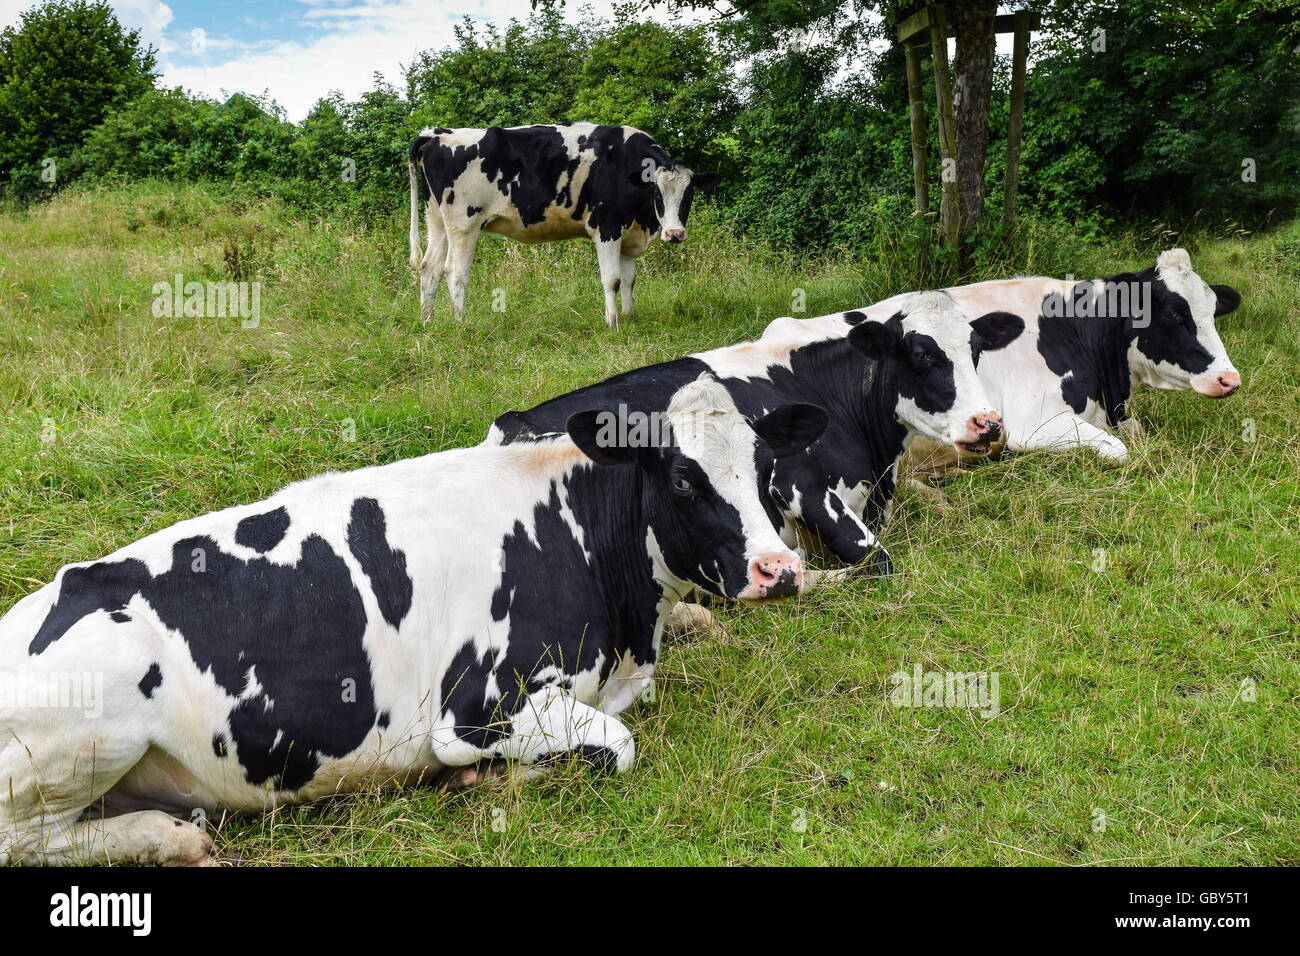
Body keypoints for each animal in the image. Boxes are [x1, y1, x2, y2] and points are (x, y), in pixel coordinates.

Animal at [0, 376, 825, 865]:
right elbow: (616, 746)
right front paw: (492, 784)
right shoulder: (476, 710)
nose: (779, 571)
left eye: (765, 470)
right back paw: (168, 837)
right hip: (95, 721)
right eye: (683, 478)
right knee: (26, 842)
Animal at [408, 123, 721, 327]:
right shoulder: (606, 228)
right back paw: (463, 325)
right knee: (455, 273)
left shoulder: (628, 234)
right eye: (657, 193)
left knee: (430, 268)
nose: (675, 234)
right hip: (464, 223)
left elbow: (629, 279)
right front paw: (613, 322)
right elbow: (612, 279)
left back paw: (427, 322)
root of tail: (436, 133)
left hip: (437, 220)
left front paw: (630, 317)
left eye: (689, 195)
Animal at [489, 291, 1021, 583]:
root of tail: (509, 423)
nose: (988, 424)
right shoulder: (795, 478)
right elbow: (879, 560)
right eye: (922, 355)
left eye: (975, 349)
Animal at [766, 249, 1242, 471]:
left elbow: (1137, 434)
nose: (1229, 379)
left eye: (1212, 310)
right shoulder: (1032, 426)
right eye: (1174, 314)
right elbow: (1120, 450)